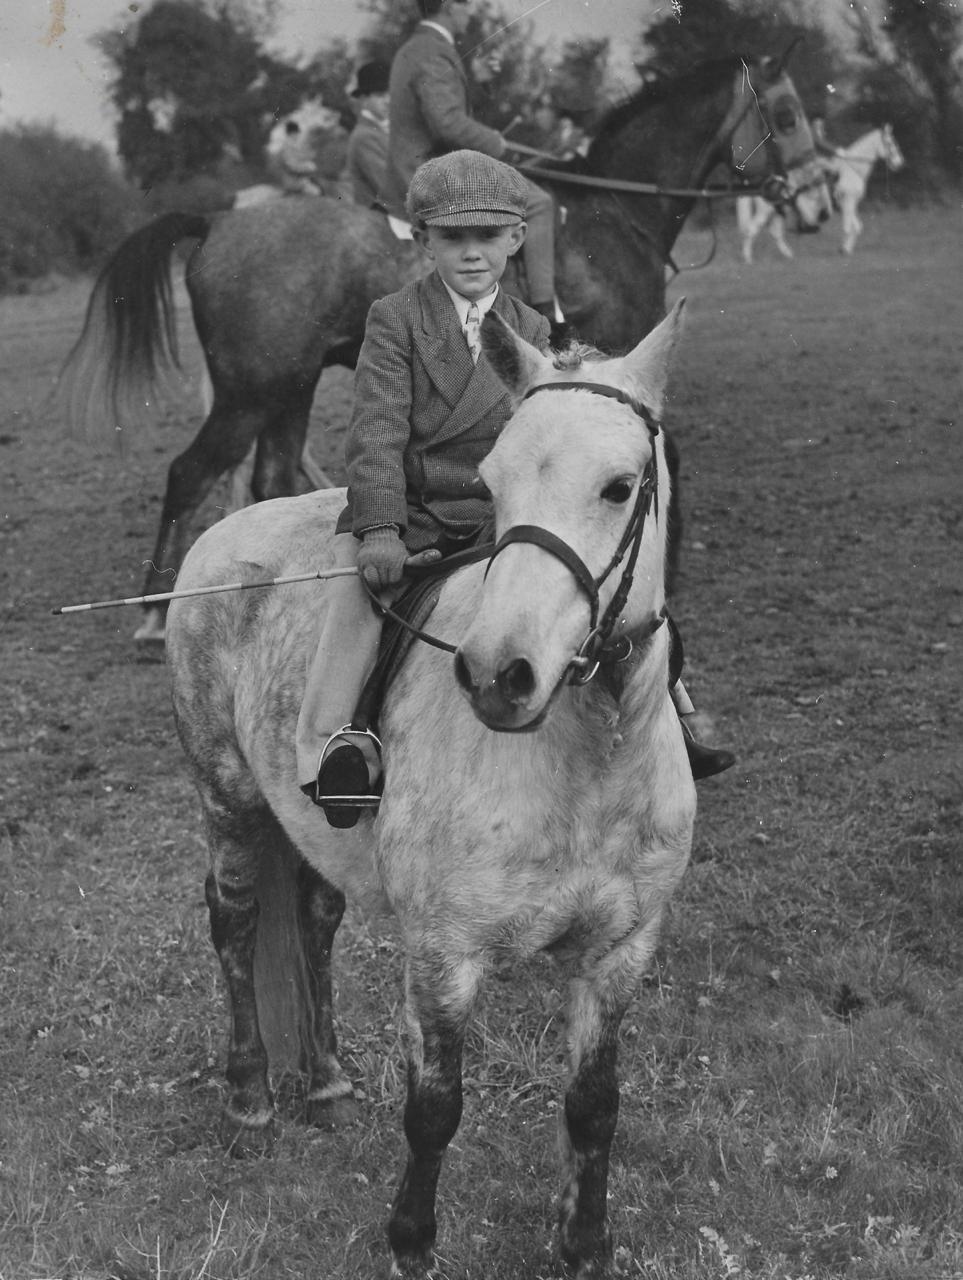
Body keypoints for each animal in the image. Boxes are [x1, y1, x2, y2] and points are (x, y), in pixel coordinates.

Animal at [58, 53, 814, 634]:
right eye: (785, 114)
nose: (814, 204)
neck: (610, 213)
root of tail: (217, 221)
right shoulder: (613, 369)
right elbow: (665, 455)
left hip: (289, 389)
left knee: (267, 479)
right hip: (250, 393)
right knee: (189, 473)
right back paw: (152, 612)